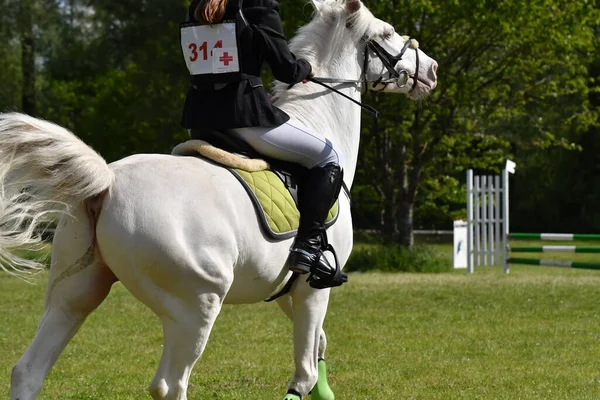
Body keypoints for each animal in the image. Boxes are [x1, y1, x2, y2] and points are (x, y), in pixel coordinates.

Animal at [2, 1, 438, 398]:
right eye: (386, 32)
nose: (431, 70)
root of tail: (108, 181)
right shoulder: (314, 289)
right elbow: (304, 374)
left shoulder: (289, 289)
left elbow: (319, 349)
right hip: (196, 307)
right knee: (170, 384)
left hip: (74, 293)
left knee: (29, 371)